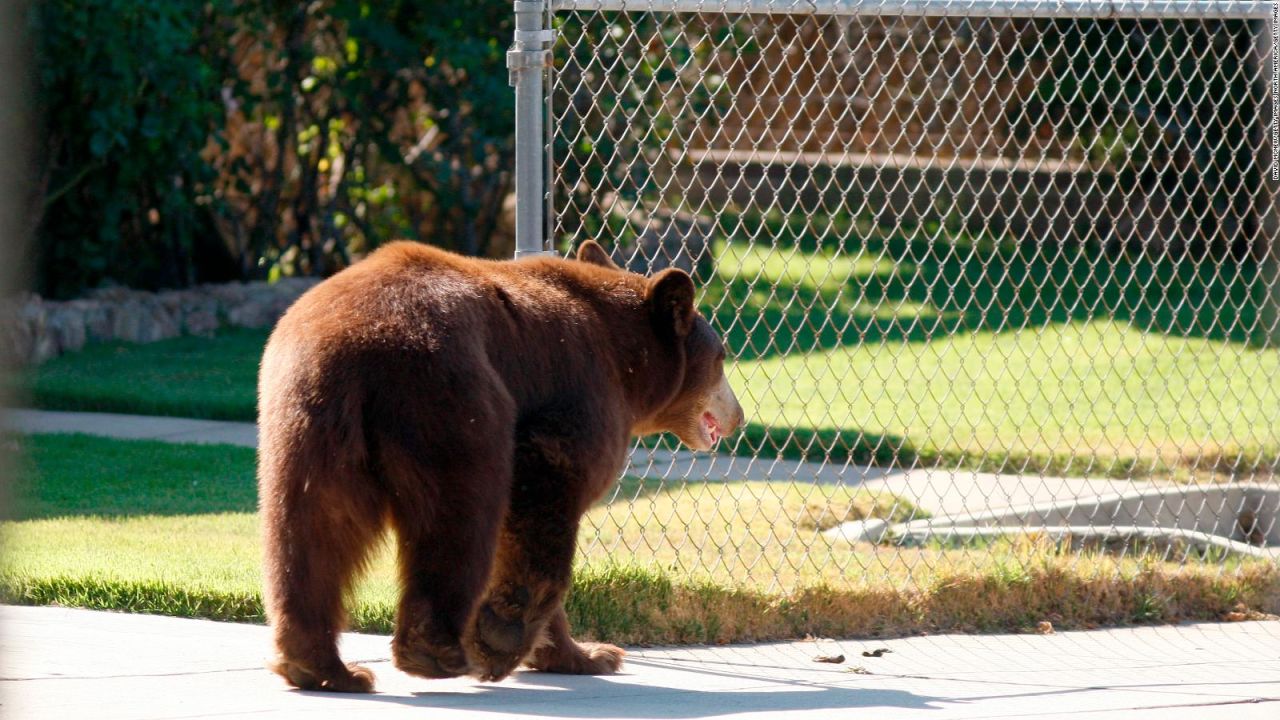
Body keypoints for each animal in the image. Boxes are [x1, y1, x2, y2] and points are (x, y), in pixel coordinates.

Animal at [256, 239, 747, 691]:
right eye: (722, 356)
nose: (738, 416)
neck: (628, 363)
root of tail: (355, 342)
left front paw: (588, 653)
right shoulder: (580, 394)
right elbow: (545, 496)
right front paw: (506, 637)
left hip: (306, 421)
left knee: (312, 531)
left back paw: (322, 667)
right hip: (451, 399)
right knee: (460, 514)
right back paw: (437, 652)